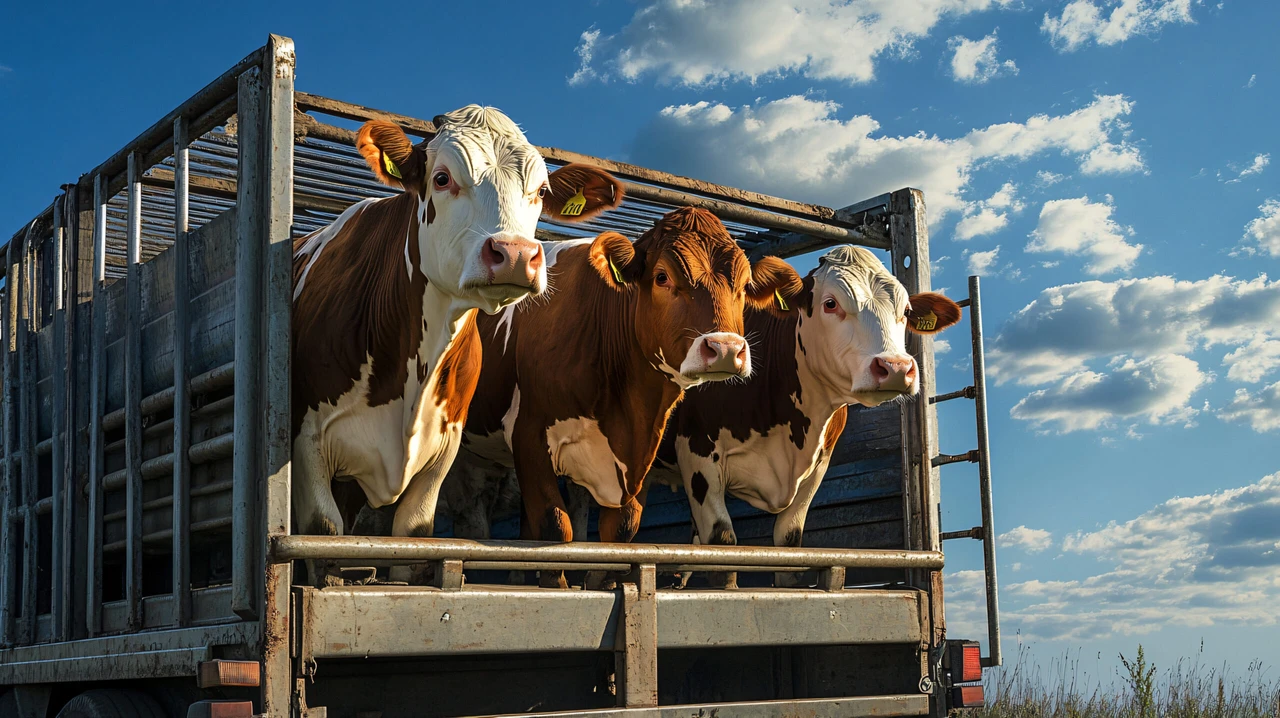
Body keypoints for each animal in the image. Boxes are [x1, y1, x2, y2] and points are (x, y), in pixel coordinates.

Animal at [291, 107, 629, 588]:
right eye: (442, 178)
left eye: (541, 191)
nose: (515, 254)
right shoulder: (308, 441)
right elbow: (323, 541)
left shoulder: (442, 451)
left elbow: (412, 542)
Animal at [442, 204, 798, 586]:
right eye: (662, 277)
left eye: (744, 286)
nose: (726, 349)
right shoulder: (529, 436)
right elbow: (554, 528)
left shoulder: (639, 454)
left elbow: (620, 533)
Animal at [650, 243, 962, 586]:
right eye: (830, 303)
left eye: (905, 312)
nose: (895, 368)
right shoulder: (698, 454)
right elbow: (722, 548)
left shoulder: (817, 467)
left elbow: (790, 549)